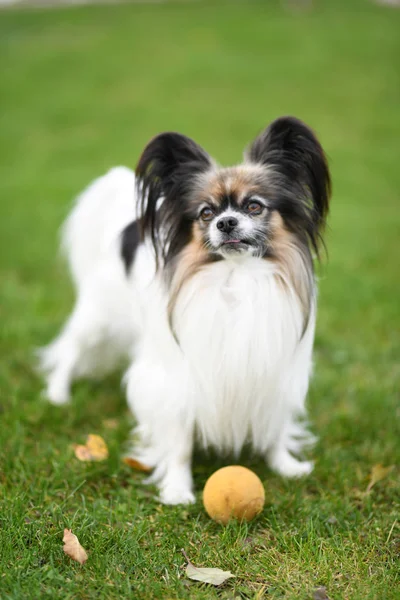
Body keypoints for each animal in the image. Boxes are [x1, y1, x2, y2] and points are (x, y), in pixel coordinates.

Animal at [39, 116, 332, 502]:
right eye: (206, 213)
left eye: (254, 206)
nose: (225, 222)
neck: (236, 276)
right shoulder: (176, 379)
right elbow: (178, 442)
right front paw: (177, 490)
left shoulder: (272, 371)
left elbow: (275, 426)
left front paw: (285, 466)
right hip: (99, 319)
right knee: (69, 349)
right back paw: (58, 394)